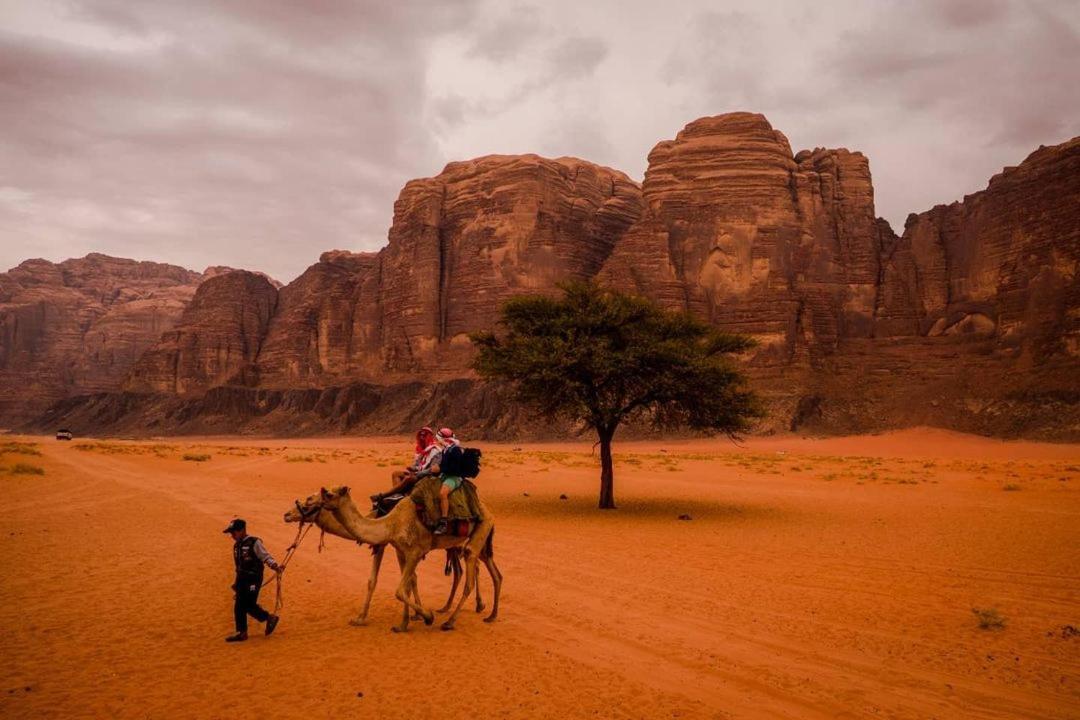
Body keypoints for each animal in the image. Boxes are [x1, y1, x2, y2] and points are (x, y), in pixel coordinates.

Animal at [282, 490, 481, 626]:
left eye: (309, 500)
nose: (287, 514)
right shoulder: (390, 546)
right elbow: (381, 580)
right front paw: (361, 618)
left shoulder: (387, 545)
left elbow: (406, 579)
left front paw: (418, 615)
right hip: (455, 545)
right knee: (466, 568)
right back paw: (453, 607)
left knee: (474, 565)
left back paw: (473, 608)